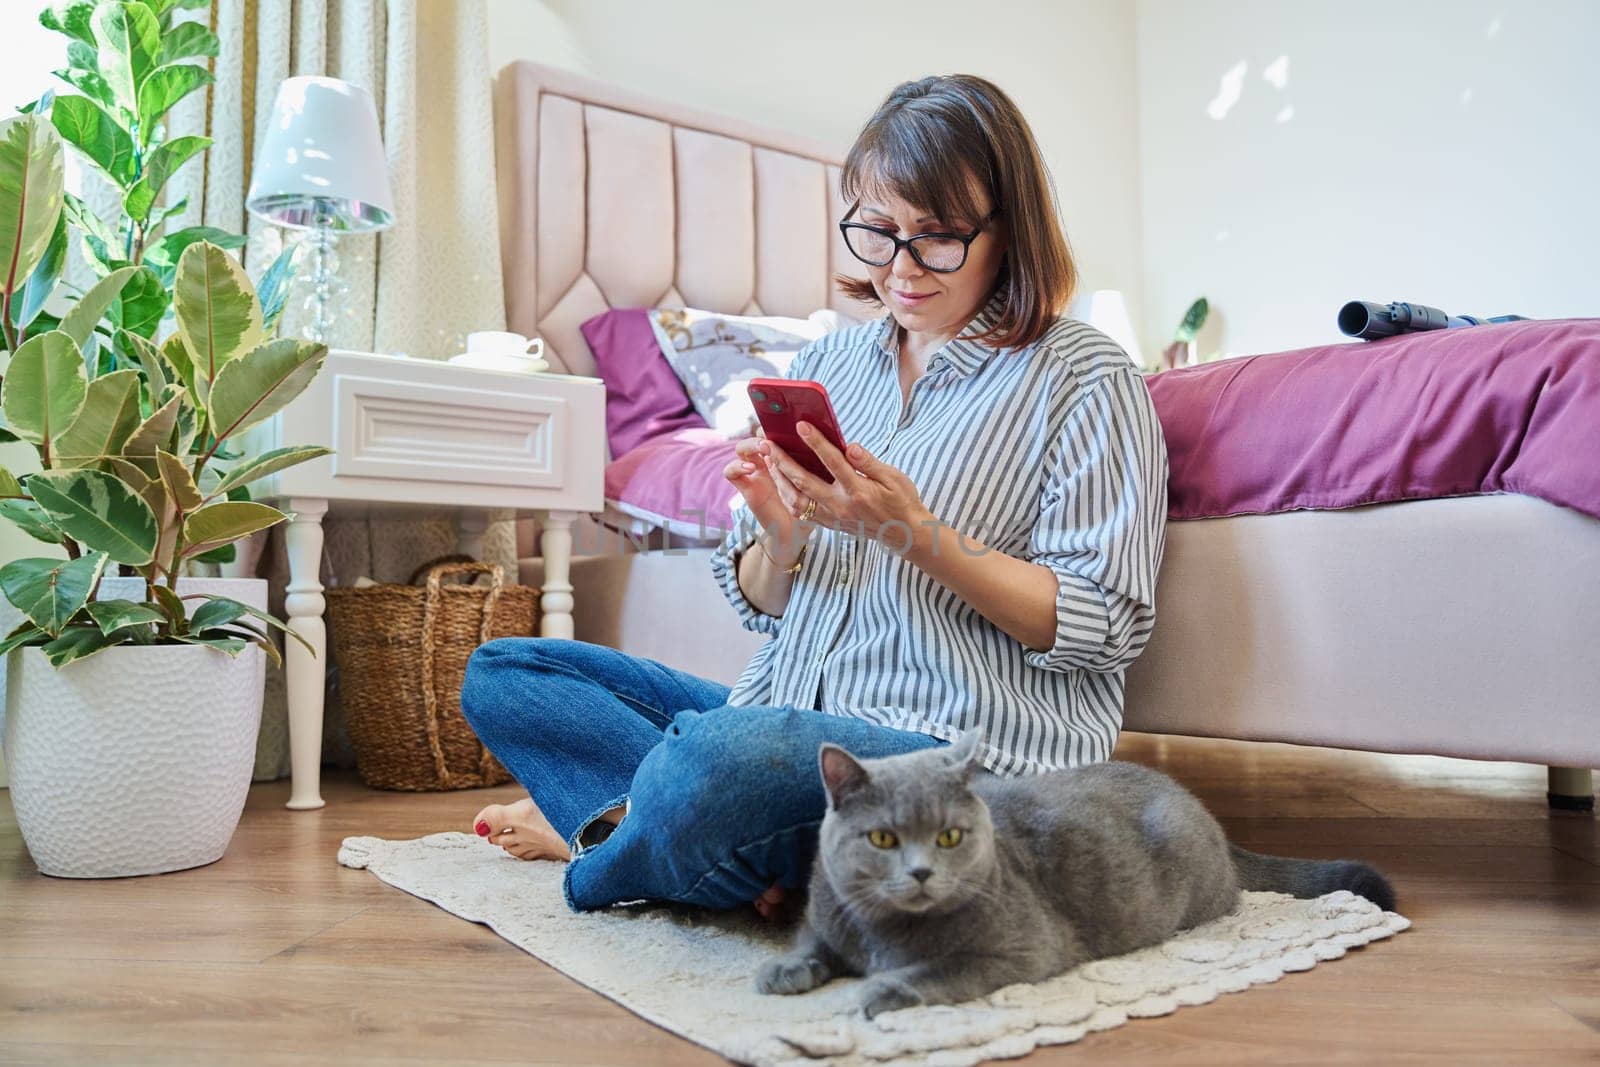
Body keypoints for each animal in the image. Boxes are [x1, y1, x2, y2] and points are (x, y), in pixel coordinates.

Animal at [755, 735, 1395, 1017]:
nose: (920, 873)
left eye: (950, 837)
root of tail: (1194, 801)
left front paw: (880, 990)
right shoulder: (828, 912)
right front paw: (783, 969)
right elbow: (811, 938)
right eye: (883, 839)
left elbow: (938, 970)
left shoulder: (1020, 950)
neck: (883, 931)